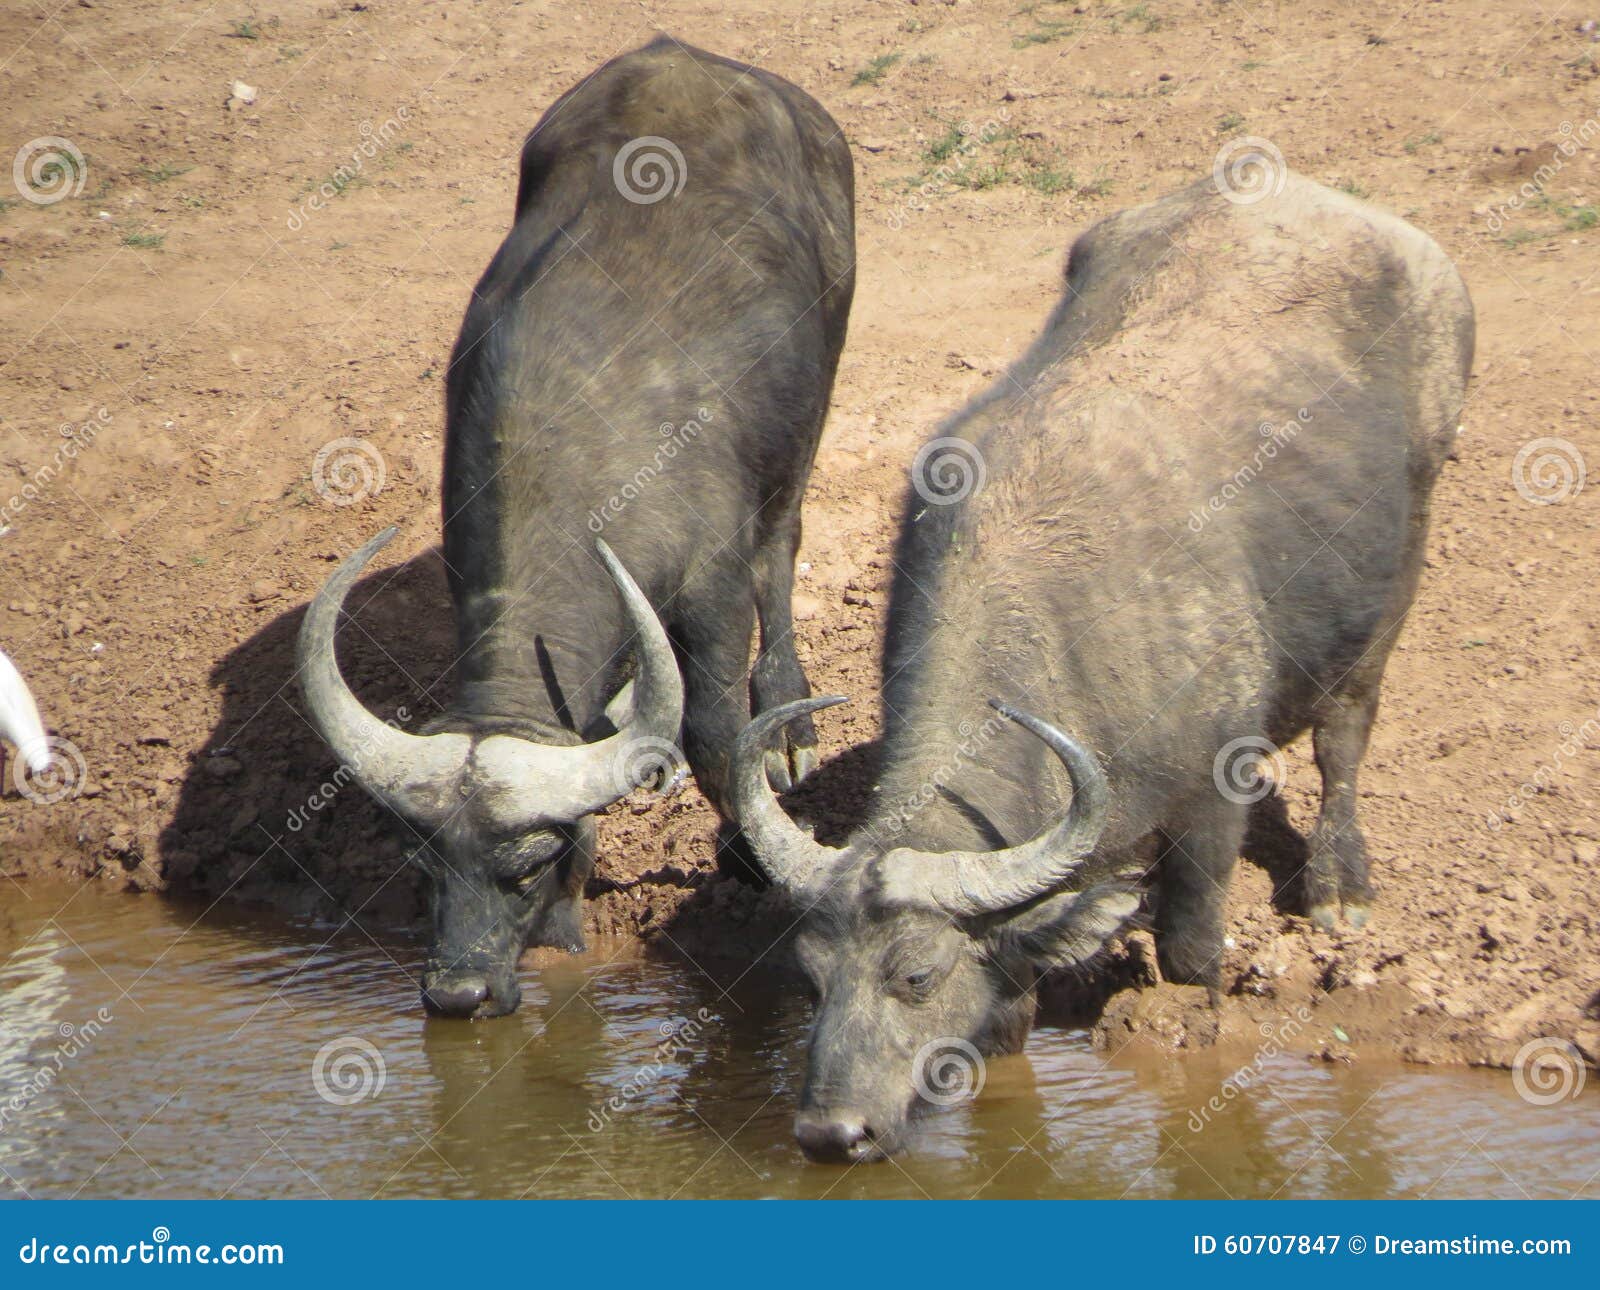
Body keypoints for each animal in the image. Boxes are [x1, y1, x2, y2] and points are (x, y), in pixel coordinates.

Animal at [296, 37, 857, 1017]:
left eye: (523, 868)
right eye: (423, 868)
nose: (458, 993)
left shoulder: (712, 586)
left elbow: (716, 731)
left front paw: (749, 852)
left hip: (816, 393)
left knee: (782, 548)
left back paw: (788, 716)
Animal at [732, 166, 1465, 1165]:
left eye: (916, 976)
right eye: (810, 980)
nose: (829, 1132)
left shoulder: (1212, 798)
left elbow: (1193, 951)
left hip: (1403, 559)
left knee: (1347, 727)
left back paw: (1338, 886)